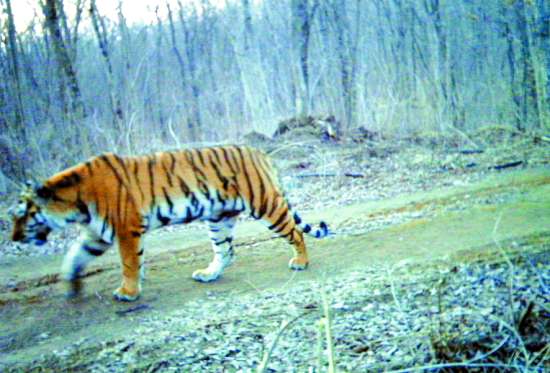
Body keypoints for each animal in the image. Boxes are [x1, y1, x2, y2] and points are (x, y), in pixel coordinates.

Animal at [10, 144, 330, 300]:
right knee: (226, 251)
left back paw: (301, 262)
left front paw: (128, 293)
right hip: (218, 217)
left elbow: (129, 263)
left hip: (265, 204)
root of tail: (257, 151)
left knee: (295, 233)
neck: (75, 204)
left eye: (21, 215)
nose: (13, 238)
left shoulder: (126, 229)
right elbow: (74, 257)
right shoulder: (96, 235)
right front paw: (71, 287)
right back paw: (208, 274)